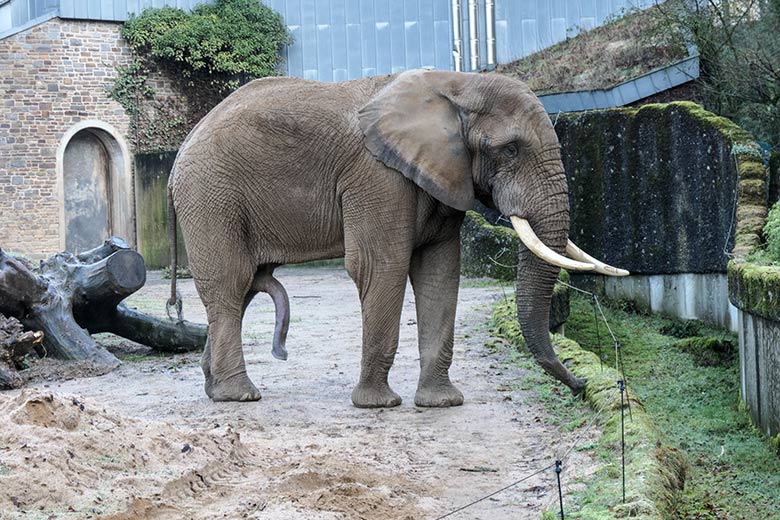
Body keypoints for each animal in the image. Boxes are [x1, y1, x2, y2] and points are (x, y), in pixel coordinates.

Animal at [168, 69, 632, 408]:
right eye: (510, 149)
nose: (582, 385)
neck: (457, 84)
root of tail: (179, 155)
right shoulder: (378, 177)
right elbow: (381, 266)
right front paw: (379, 405)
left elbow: (439, 272)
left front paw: (442, 403)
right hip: (211, 196)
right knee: (230, 283)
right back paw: (240, 395)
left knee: (246, 285)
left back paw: (215, 389)